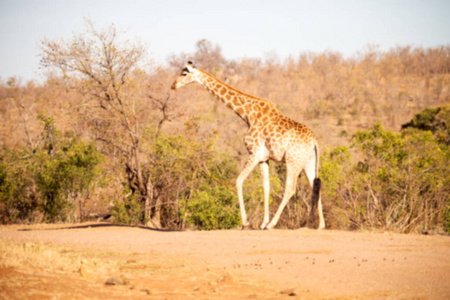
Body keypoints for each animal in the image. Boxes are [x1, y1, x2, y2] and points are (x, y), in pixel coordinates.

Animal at [171, 61, 324, 230]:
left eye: (184, 74)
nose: (173, 85)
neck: (248, 115)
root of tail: (314, 141)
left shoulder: (254, 153)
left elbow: (238, 181)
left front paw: (246, 222)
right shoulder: (264, 158)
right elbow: (266, 187)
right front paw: (262, 223)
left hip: (293, 160)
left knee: (291, 188)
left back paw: (274, 224)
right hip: (308, 162)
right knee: (316, 185)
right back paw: (319, 224)